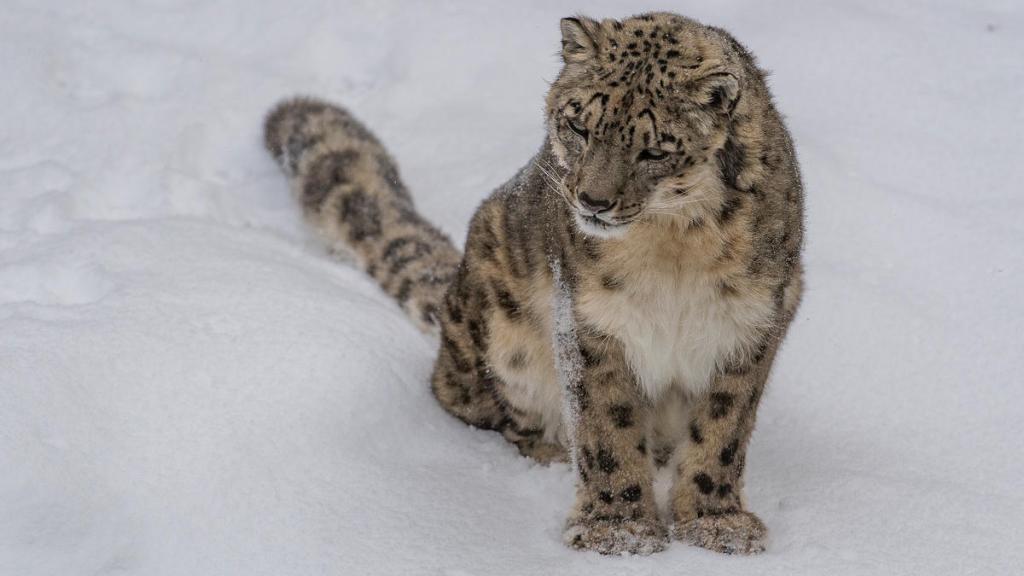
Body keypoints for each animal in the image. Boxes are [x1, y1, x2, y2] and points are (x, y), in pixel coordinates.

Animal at [263, 12, 804, 556]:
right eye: (579, 125)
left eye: (654, 150)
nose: (593, 200)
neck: (673, 247)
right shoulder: (589, 322)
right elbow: (607, 425)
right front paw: (619, 529)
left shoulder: (749, 324)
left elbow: (722, 428)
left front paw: (716, 523)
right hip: (505, 341)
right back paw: (554, 455)